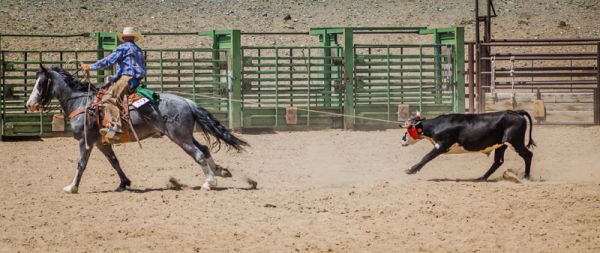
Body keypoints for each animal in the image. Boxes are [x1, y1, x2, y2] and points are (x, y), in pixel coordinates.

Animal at [25, 65, 248, 194]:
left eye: (41, 83)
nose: (30, 104)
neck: (81, 101)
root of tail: (187, 101)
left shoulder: (85, 141)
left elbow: (81, 164)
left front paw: (72, 187)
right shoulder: (101, 143)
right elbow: (114, 162)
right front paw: (124, 183)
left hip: (179, 137)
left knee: (199, 154)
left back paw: (208, 182)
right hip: (185, 135)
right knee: (205, 149)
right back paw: (219, 172)